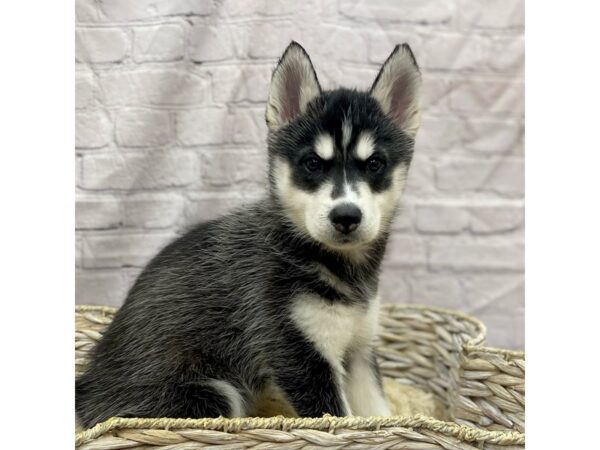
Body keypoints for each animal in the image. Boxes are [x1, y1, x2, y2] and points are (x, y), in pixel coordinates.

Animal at [75, 40, 422, 428]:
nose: (346, 216)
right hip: (213, 391)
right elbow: (337, 418)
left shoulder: (359, 350)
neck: (340, 264)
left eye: (375, 164)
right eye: (312, 164)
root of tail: (87, 387)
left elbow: (378, 412)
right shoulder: (298, 355)